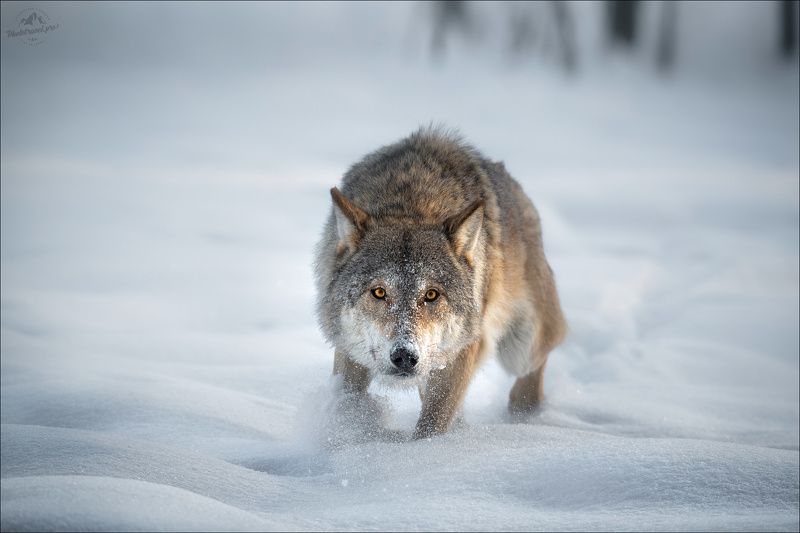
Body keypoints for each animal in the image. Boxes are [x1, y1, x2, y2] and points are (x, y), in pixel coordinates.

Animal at [314, 127, 566, 438]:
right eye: (379, 292)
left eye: (432, 295)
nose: (405, 357)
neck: (412, 204)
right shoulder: (350, 350)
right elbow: (348, 400)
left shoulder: (461, 352)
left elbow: (432, 424)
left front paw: (428, 450)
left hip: (521, 347)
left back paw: (524, 416)